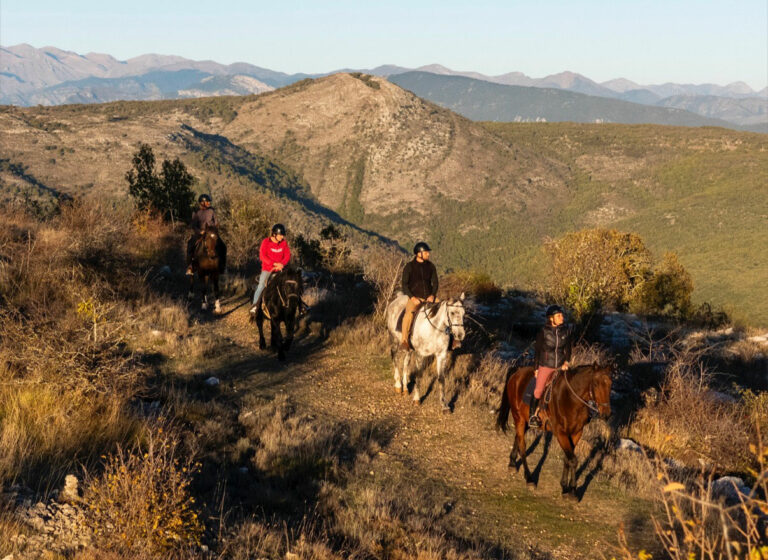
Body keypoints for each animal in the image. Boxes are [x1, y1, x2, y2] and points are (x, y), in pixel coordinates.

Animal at [496, 363, 612, 499]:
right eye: (595, 384)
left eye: (610, 384)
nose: (606, 414)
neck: (570, 399)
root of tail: (517, 373)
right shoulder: (561, 433)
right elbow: (573, 460)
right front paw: (572, 491)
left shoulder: (576, 433)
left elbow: (568, 458)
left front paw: (565, 487)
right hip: (518, 417)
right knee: (523, 447)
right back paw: (529, 479)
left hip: (525, 421)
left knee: (518, 439)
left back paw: (512, 464)